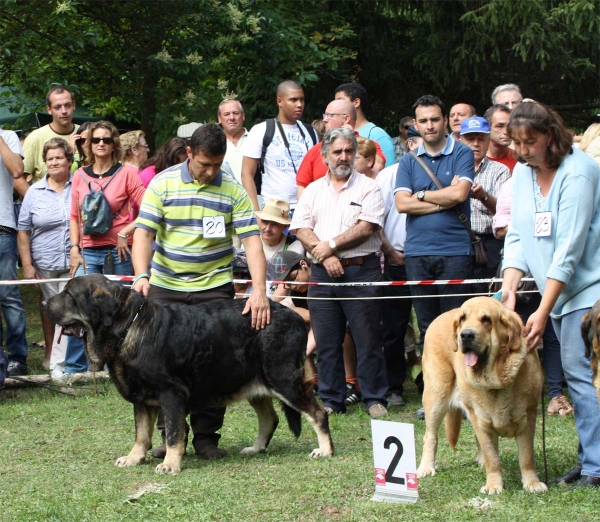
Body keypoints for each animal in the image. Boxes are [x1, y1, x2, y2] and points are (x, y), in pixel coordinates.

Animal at [44, 274, 336, 474]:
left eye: (69, 294)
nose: (46, 303)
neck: (128, 326)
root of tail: (298, 318)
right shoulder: (142, 399)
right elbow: (141, 434)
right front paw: (134, 457)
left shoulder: (171, 393)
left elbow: (174, 432)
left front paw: (170, 464)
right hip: (256, 382)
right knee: (270, 418)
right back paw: (256, 448)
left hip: (283, 379)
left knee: (318, 413)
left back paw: (325, 450)